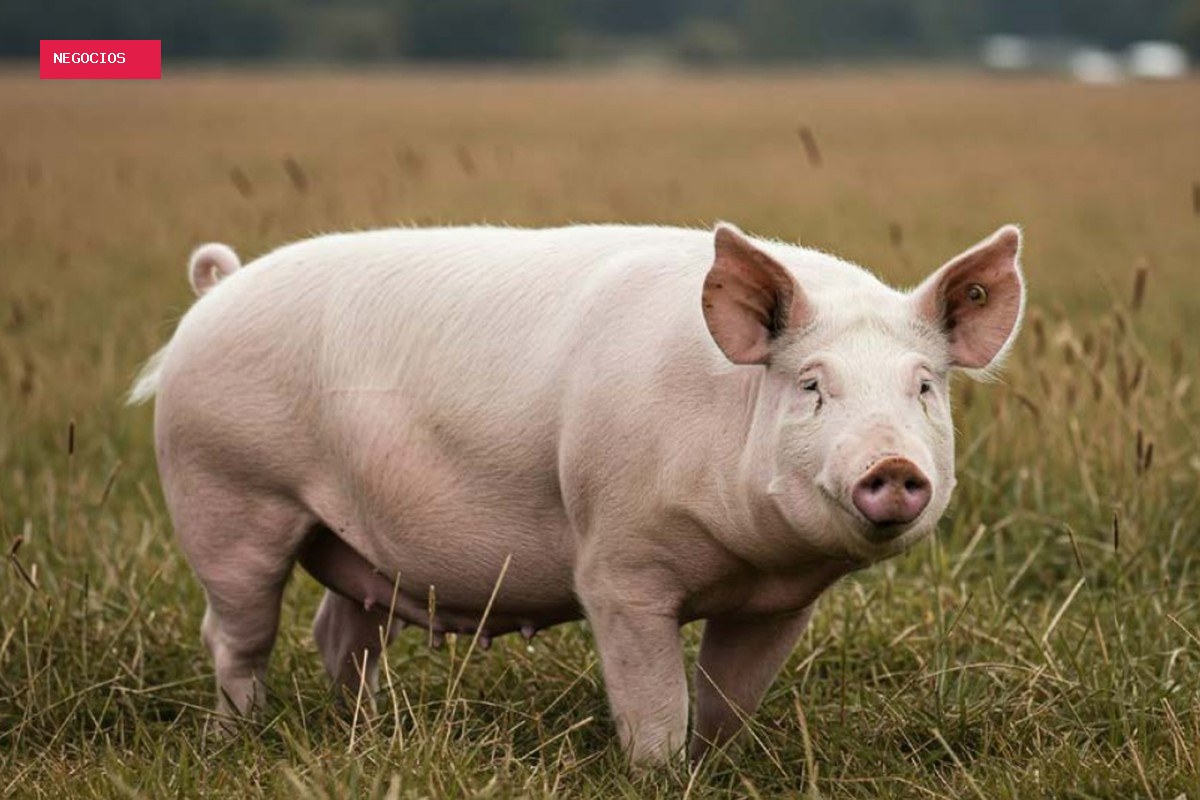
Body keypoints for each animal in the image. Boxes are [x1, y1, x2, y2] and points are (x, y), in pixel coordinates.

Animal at [129, 222, 1024, 764]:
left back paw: (370, 736)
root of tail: (215, 293)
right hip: (228, 493)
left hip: (349, 537)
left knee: (340, 633)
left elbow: (728, 701)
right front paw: (663, 772)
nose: (893, 465)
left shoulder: (780, 601)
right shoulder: (618, 569)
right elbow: (654, 705)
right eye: (812, 384)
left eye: (923, 388)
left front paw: (718, 765)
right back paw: (234, 739)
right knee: (236, 633)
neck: (744, 558)